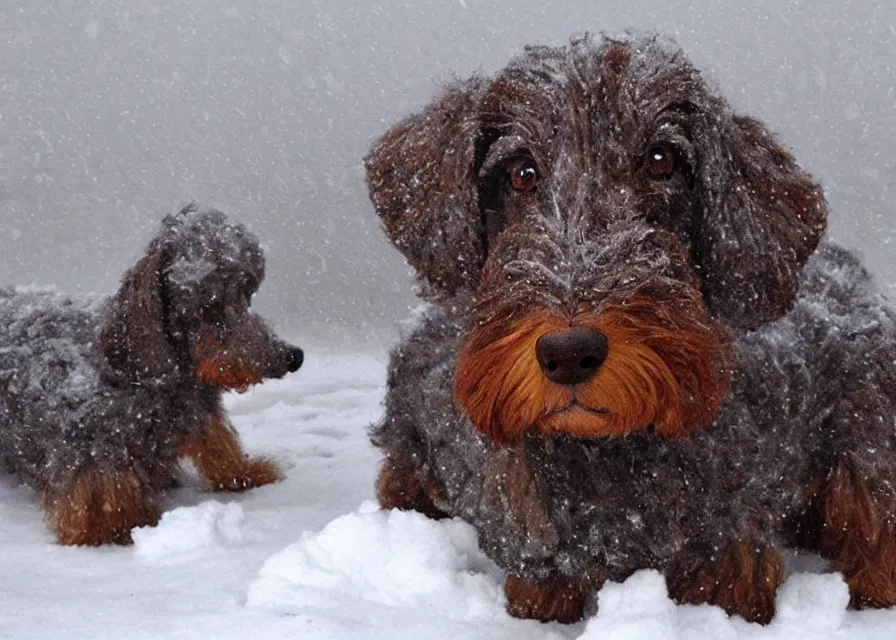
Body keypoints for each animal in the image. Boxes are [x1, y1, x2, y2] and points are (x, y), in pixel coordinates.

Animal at [0, 208, 304, 548]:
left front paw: (243, 473)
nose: (293, 357)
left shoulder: (199, 414)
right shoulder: (92, 455)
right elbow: (104, 513)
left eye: (247, 294)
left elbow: (218, 445)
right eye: (210, 305)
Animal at [364, 35, 896, 624]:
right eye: (521, 171)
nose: (569, 352)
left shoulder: (727, 560)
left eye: (663, 161)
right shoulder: (539, 566)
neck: (603, 454)